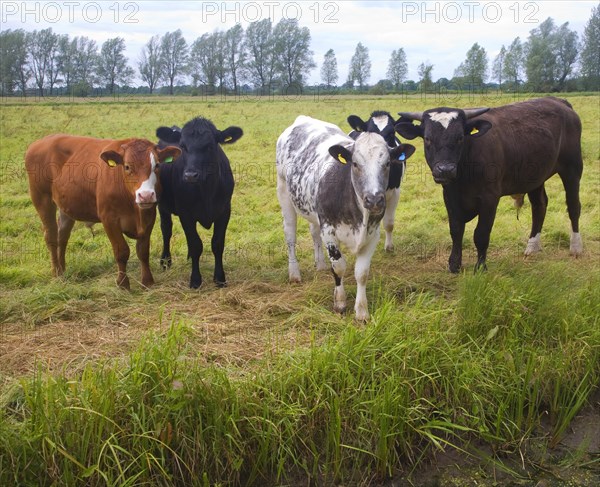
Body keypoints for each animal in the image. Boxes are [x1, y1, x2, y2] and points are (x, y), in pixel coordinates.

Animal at [25, 134, 180, 290]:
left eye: (157, 165)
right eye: (127, 166)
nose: (146, 195)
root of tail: (44, 139)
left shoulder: (149, 216)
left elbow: (143, 251)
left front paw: (147, 282)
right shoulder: (109, 220)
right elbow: (121, 251)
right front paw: (123, 284)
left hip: (66, 206)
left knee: (62, 236)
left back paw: (63, 271)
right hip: (42, 198)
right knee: (51, 235)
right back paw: (56, 273)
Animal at [156, 117, 243, 288]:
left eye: (209, 146)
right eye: (183, 146)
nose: (190, 175)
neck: (206, 191)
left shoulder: (224, 211)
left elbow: (217, 244)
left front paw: (220, 278)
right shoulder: (186, 214)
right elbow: (196, 245)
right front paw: (195, 280)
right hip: (162, 206)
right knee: (166, 230)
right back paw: (165, 261)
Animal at [396, 98, 584, 274]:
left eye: (460, 137)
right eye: (427, 138)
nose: (445, 170)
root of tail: (559, 101)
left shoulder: (489, 198)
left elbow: (481, 234)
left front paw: (480, 267)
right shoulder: (450, 196)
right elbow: (456, 230)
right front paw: (454, 264)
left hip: (572, 169)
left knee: (573, 206)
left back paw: (576, 247)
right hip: (536, 177)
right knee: (539, 206)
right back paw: (532, 247)